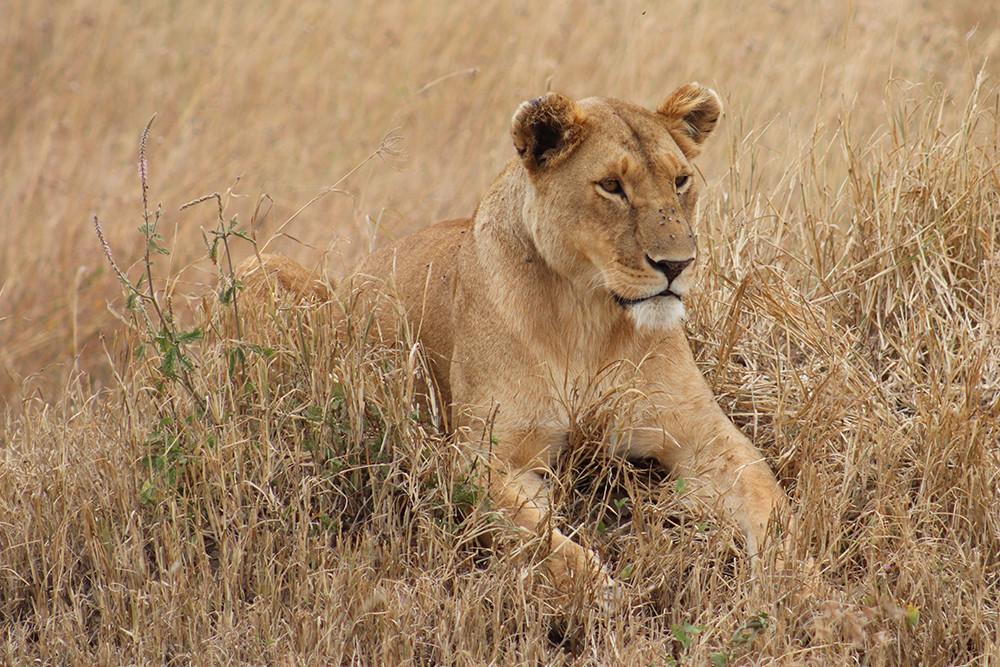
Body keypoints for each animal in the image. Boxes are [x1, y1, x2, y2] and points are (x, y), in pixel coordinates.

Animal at [237, 83, 790, 600]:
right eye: (611, 186)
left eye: (680, 181)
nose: (677, 265)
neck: (589, 318)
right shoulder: (483, 458)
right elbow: (543, 539)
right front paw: (601, 591)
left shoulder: (704, 435)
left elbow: (769, 498)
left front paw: (784, 578)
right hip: (262, 267)